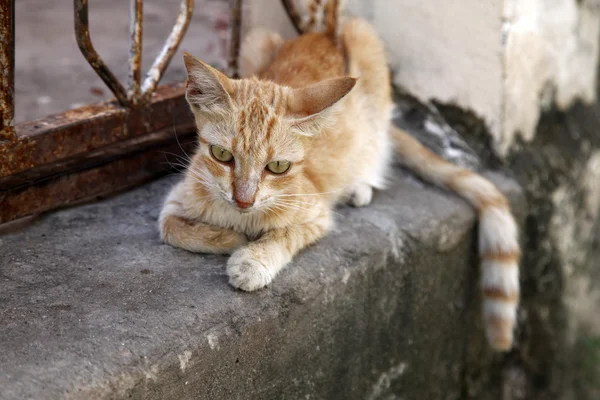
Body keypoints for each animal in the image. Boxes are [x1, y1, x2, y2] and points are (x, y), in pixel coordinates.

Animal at [159, 10, 520, 350]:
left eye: (278, 166)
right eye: (222, 155)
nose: (244, 200)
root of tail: (323, 33)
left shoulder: (317, 214)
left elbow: (285, 235)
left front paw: (252, 258)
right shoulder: (176, 201)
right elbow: (175, 229)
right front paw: (232, 237)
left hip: (364, 40)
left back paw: (359, 185)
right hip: (255, 39)